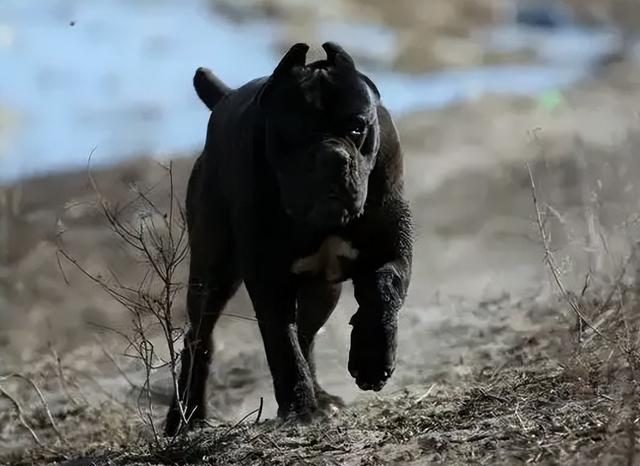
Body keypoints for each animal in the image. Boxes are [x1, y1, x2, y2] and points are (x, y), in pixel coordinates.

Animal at [165, 41, 412, 436]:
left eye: (357, 127)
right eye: (295, 130)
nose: (331, 156)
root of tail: (224, 97)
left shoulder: (390, 244)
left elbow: (384, 290)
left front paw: (372, 359)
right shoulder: (267, 277)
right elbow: (281, 341)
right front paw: (299, 409)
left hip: (321, 291)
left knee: (307, 335)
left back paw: (322, 395)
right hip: (212, 271)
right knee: (198, 338)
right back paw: (186, 417)